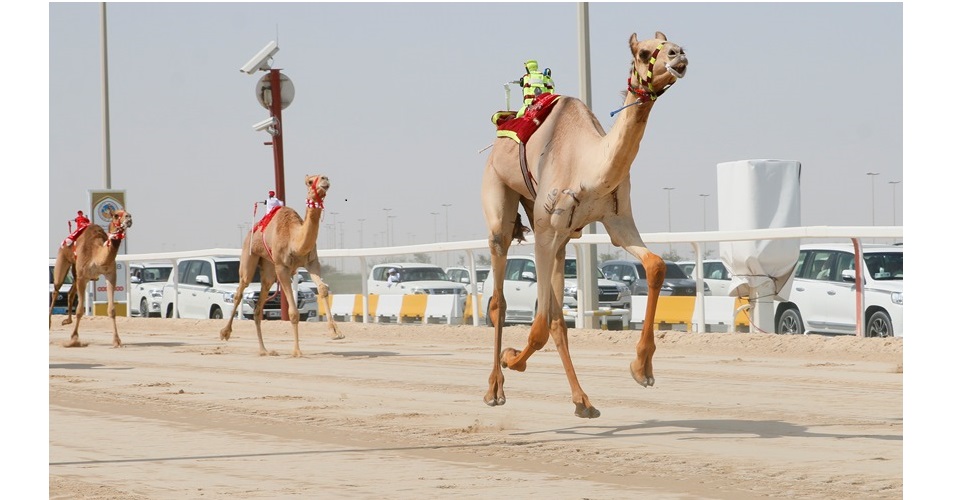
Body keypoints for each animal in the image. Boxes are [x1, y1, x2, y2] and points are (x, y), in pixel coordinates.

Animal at [49, 208, 133, 348]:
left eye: (127, 213)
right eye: (116, 215)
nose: (129, 218)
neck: (96, 254)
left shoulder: (110, 275)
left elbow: (112, 309)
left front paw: (117, 341)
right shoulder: (83, 277)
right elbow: (79, 310)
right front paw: (74, 339)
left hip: (76, 273)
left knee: (71, 293)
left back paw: (67, 320)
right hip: (63, 261)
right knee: (56, 290)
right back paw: (49, 324)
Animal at [221, 175, 344, 356]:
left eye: (325, 176)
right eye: (310, 181)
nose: (324, 180)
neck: (294, 239)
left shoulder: (312, 262)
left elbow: (322, 289)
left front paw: (336, 332)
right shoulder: (282, 267)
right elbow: (293, 312)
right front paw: (297, 351)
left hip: (268, 271)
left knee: (258, 308)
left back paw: (264, 350)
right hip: (249, 257)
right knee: (240, 289)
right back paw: (225, 333)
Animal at [484, 31, 688, 418]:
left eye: (669, 41)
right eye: (643, 53)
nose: (678, 54)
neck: (588, 167)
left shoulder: (617, 221)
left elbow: (655, 265)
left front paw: (642, 368)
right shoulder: (545, 230)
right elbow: (538, 325)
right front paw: (511, 358)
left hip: (560, 236)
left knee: (555, 317)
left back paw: (582, 401)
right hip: (500, 199)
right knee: (499, 297)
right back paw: (494, 388)